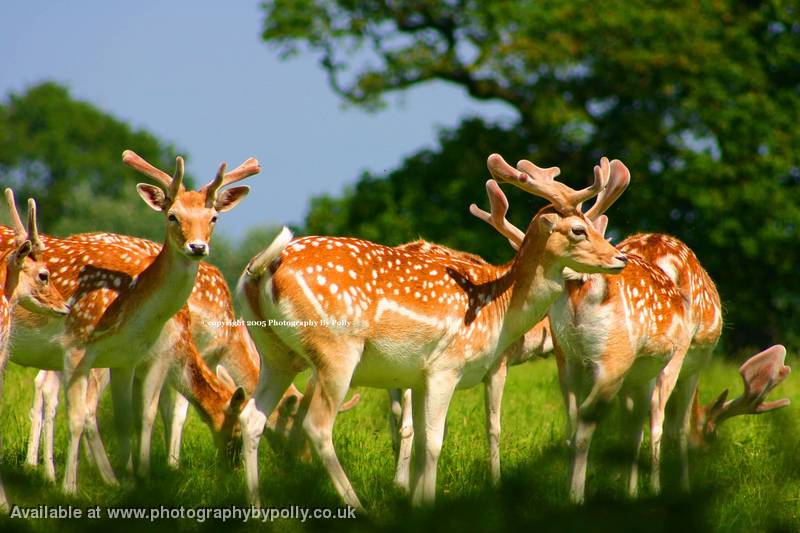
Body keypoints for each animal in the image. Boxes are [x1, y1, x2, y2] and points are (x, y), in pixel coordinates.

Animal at [0, 148, 256, 492]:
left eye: (214, 217)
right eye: (172, 215)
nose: (197, 246)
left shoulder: (130, 359)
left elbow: (136, 416)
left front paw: (138, 477)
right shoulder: (143, 354)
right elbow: (163, 412)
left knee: (47, 388)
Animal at [238, 153, 632, 508]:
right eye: (578, 230)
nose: (619, 258)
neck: (498, 308)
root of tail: (261, 269)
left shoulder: (418, 375)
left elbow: (419, 438)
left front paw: (414, 502)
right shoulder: (446, 366)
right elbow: (433, 441)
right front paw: (426, 504)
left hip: (276, 353)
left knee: (252, 418)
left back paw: (257, 508)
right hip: (335, 350)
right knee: (317, 426)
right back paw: (358, 507)